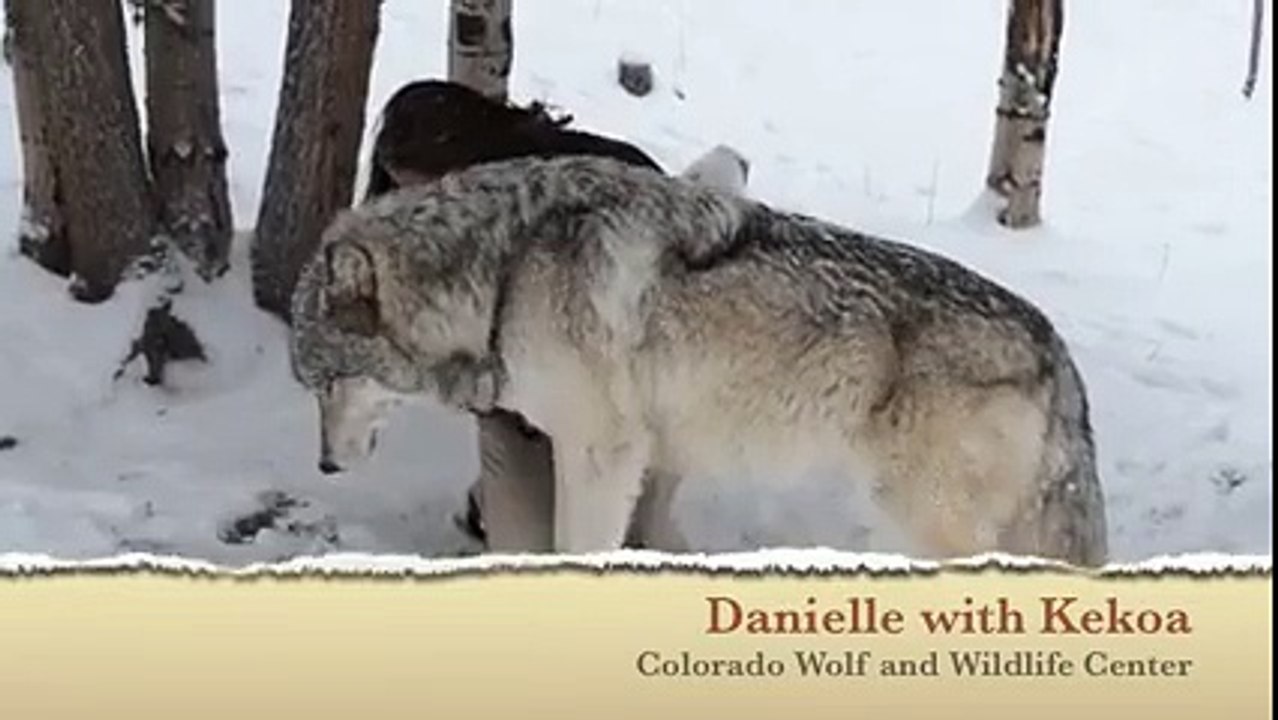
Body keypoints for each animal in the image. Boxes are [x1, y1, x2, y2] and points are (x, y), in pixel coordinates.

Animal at [289, 154, 1108, 566]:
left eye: (326, 381)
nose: (322, 464)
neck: (504, 270)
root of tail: (1056, 350)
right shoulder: (644, 454)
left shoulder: (601, 451)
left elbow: (576, 546)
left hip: (920, 518)